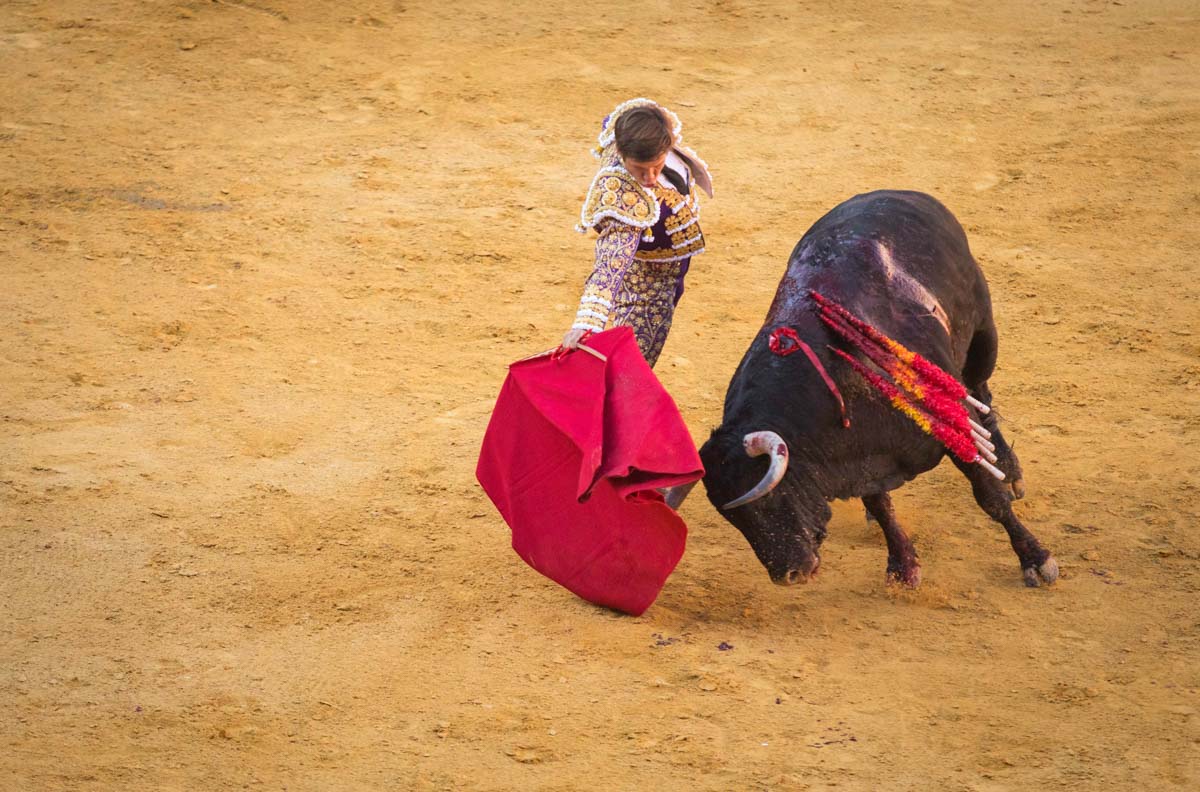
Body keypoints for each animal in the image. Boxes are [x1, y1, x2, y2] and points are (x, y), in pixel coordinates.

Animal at [700, 192, 1056, 588]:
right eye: (734, 518)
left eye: (769, 501)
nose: (788, 575)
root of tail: (906, 194)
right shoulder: (860, 450)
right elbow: (880, 505)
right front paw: (903, 566)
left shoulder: (953, 428)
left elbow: (989, 497)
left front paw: (1035, 558)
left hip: (983, 337)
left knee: (981, 394)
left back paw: (1009, 469)